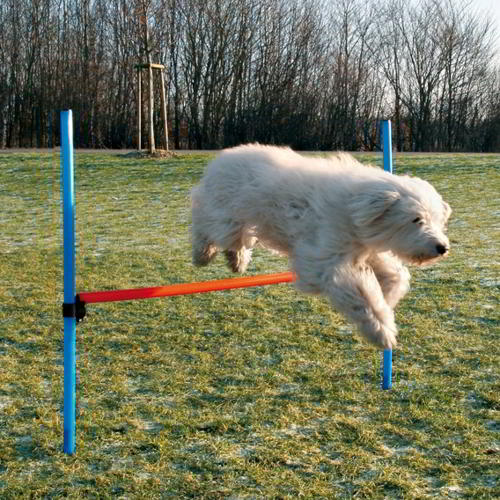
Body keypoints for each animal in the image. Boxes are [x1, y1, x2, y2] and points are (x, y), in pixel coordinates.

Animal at [189, 143, 452, 350]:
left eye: (438, 221)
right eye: (416, 219)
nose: (442, 248)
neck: (355, 208)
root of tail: (221, 159)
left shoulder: (364, 249)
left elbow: (395, 275)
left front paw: (388, 297)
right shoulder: (325, 259)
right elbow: (360, 294)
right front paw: (382, 331)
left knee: (228, 238)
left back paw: (236, 261)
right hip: (228, 214)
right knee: (205, 224)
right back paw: (204, 254)